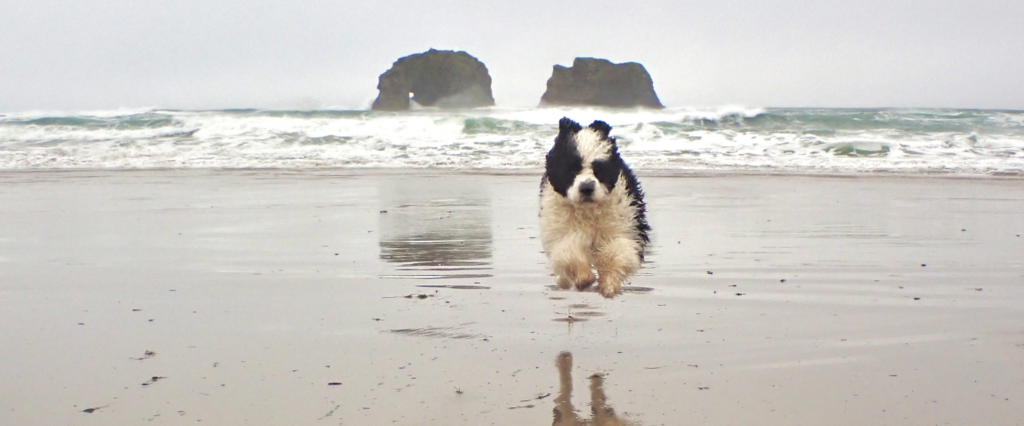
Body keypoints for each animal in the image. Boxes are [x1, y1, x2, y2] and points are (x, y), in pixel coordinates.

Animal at [540, 116, 651, 296]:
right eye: (572, 170)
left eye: (599, 170)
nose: (586, 188)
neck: (589, 210)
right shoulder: (563, 229)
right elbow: (570, 249)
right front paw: (584, 278)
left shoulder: (623, 228)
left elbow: (616, 252)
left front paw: (608, 285)